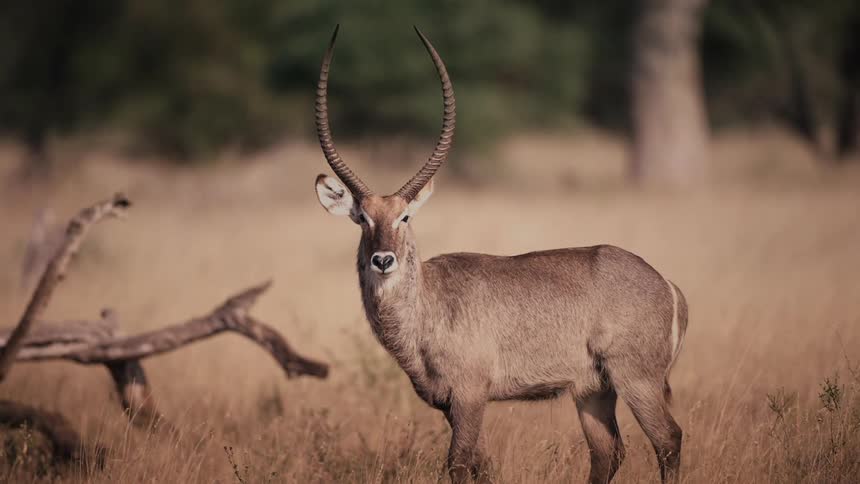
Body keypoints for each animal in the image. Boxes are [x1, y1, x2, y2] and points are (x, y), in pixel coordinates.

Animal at [313, 26, 688, 484]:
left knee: (668, 440)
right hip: (593, 391)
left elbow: (459, 463)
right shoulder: (450, 405)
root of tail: (666, 284)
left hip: (636, 380)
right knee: (608, 453)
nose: (383, 260)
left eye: (404, 216)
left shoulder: (471, 396)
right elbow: (483, 466)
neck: (428, 307)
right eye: (363, 218)